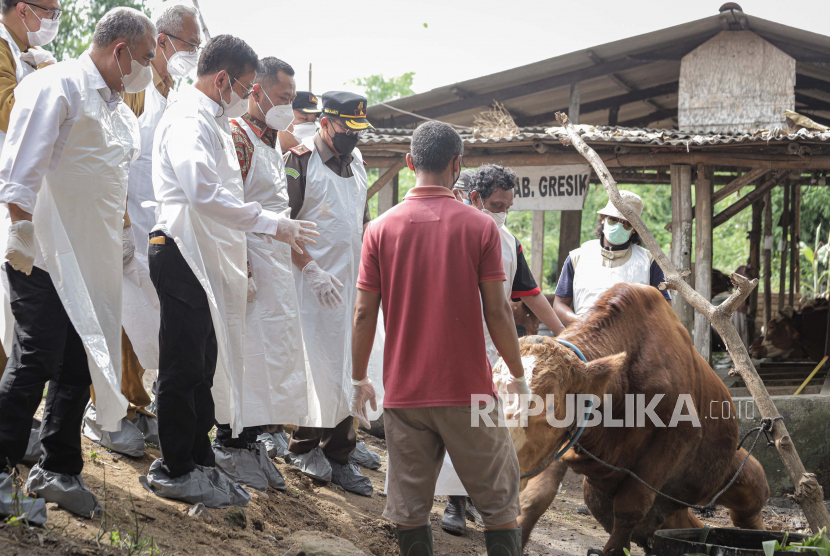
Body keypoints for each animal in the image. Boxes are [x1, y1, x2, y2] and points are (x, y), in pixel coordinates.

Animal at [498, 284, 772, 552]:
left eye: (548, 408)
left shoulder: (677, 437)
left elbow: (630, 507)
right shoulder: (568, 439)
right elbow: (537, 496)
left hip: (736, 472)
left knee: (748, 513)